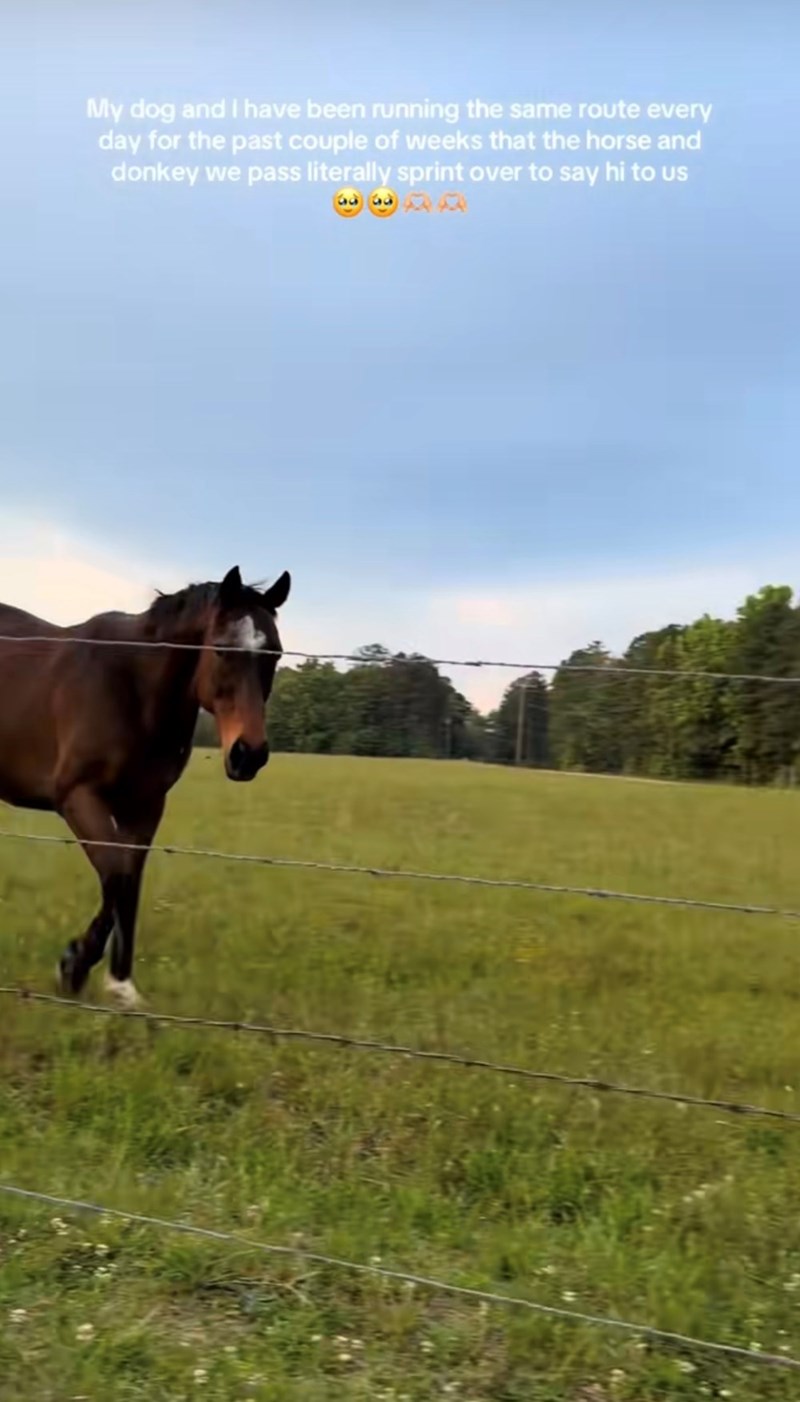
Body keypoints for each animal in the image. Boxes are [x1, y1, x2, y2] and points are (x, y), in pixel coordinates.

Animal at [0, 565, 290, 1007]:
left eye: (274, 653)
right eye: (222, 649)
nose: (249, 754)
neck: (133, 688)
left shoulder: (145, 806)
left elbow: (130, 881)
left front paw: (121, 986)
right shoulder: (78, 797)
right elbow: (116, 876)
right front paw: (74, 965)